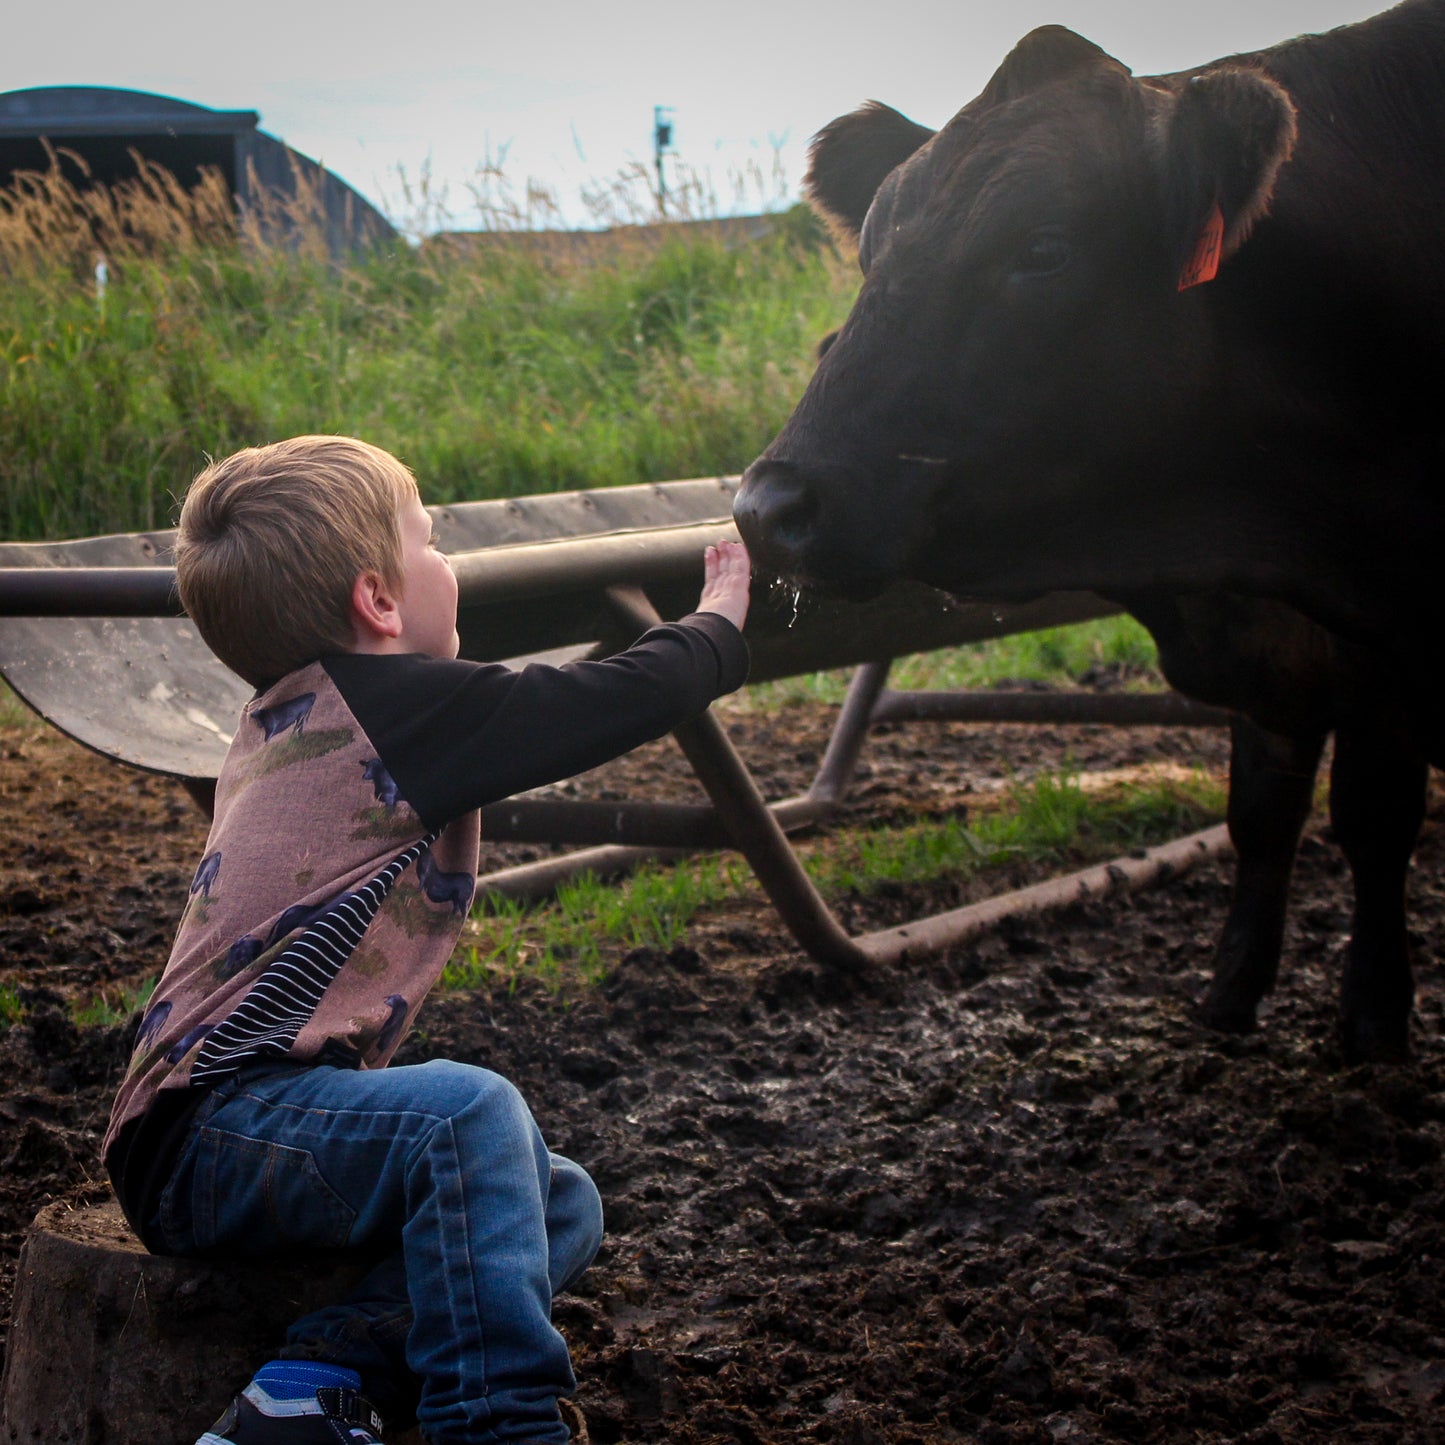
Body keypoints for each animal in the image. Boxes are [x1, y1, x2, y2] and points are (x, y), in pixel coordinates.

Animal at [734, 0, 1445, 1063]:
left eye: (1043, 248)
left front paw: (1368, 1018)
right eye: (869, 253)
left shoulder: (1369, 670)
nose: (767, 510)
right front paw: (1229, 995)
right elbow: (1262, 812)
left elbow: (1371, 815)